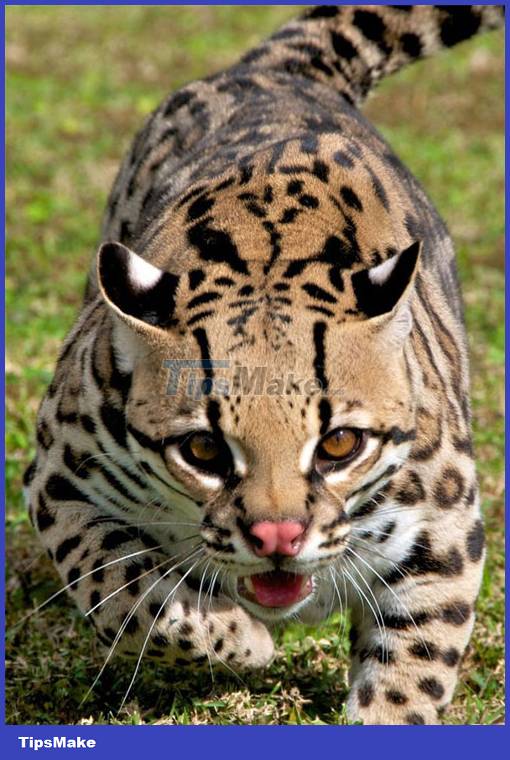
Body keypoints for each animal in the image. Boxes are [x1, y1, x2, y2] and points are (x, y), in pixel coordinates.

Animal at [24, 5, 504, 725]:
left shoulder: (445, 526)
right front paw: (238, 638)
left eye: (340, 444)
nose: (278, 537)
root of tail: (282, 70)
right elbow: (130, 591)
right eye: (202, 450)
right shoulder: (59, 475)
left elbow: (408, 678)